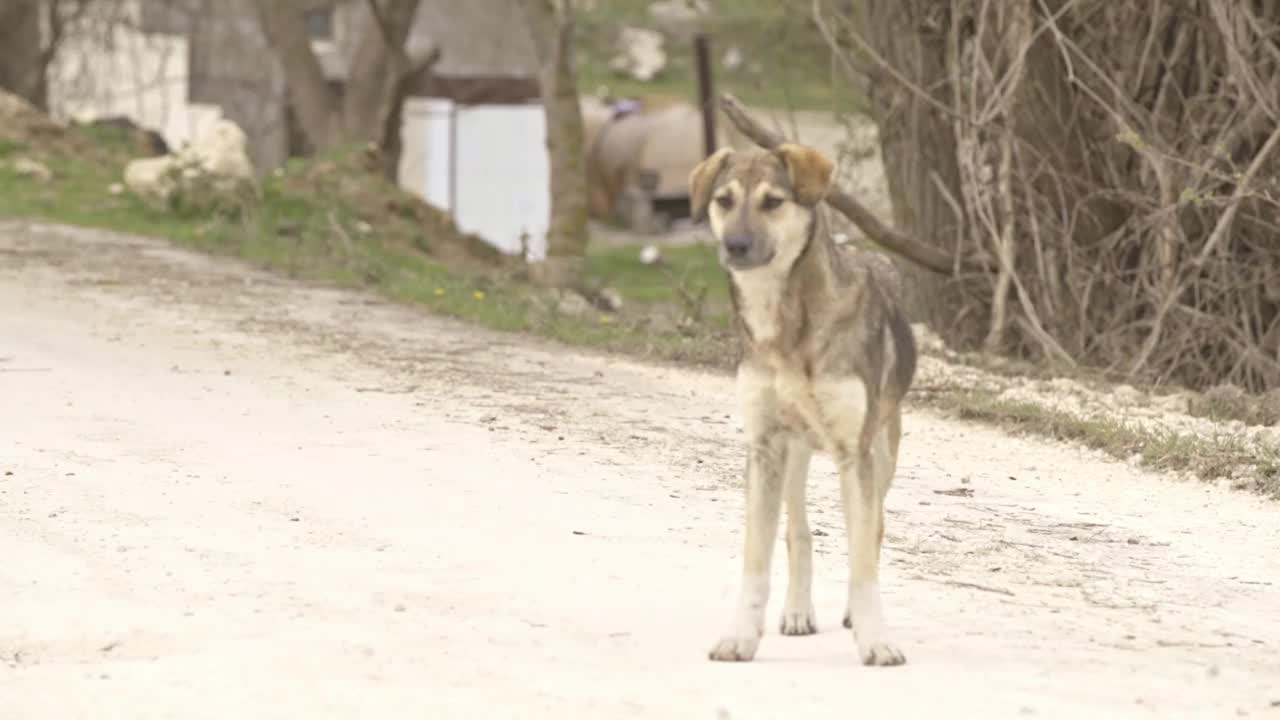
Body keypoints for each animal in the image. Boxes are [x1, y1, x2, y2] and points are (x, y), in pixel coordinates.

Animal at [696, 142, 916, 666]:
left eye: (773, 202)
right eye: (724, 201)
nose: (735, 246)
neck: (786, 321)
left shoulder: (855, 453)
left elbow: (863, 560)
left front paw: (876, 641)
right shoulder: (763, 448)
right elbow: (757, 561)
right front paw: (741, 638)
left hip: (882, 452)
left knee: (873, 529)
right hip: (794, 457)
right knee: (799, 534)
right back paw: (797, 613)